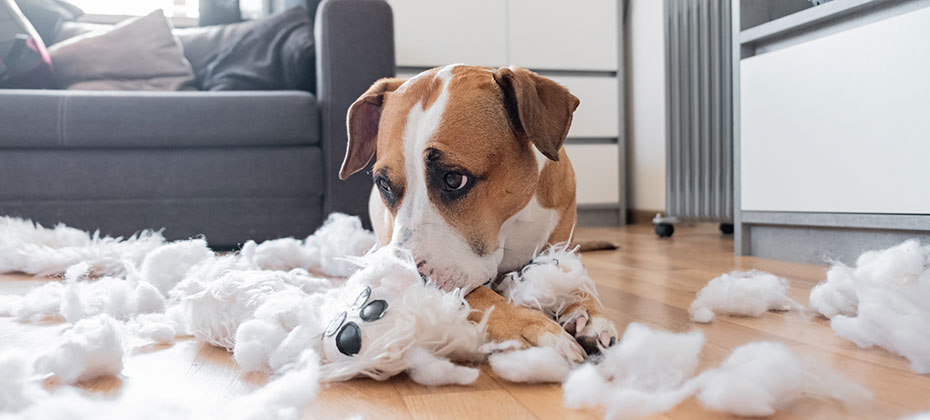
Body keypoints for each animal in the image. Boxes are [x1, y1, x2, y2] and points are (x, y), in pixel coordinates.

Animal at [338, 64, 616, 360]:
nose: (402, 282)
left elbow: (572, 276)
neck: (510, 226)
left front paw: (588, 311)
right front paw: (532, 327)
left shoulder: (561, 246)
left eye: (454, 179)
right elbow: (479, 295)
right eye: (384, 184)